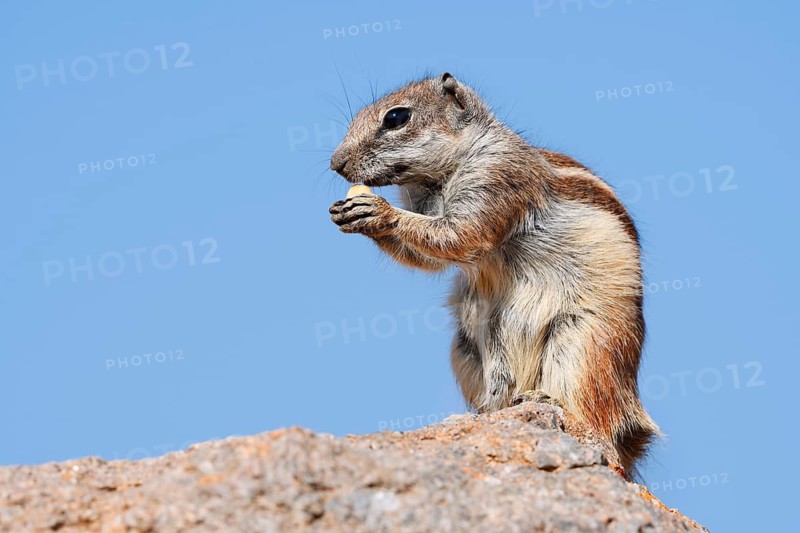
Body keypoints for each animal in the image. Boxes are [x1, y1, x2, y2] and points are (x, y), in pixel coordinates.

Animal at [328, 72, 659, 478]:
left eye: (396, 118)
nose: (336, 163)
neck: (442, 176)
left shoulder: (497, 178)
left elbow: (458, 234)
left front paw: (378, 211)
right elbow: (427, 255)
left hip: (586, 344)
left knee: (598, 417)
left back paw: (546, 399)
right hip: (466, 349)